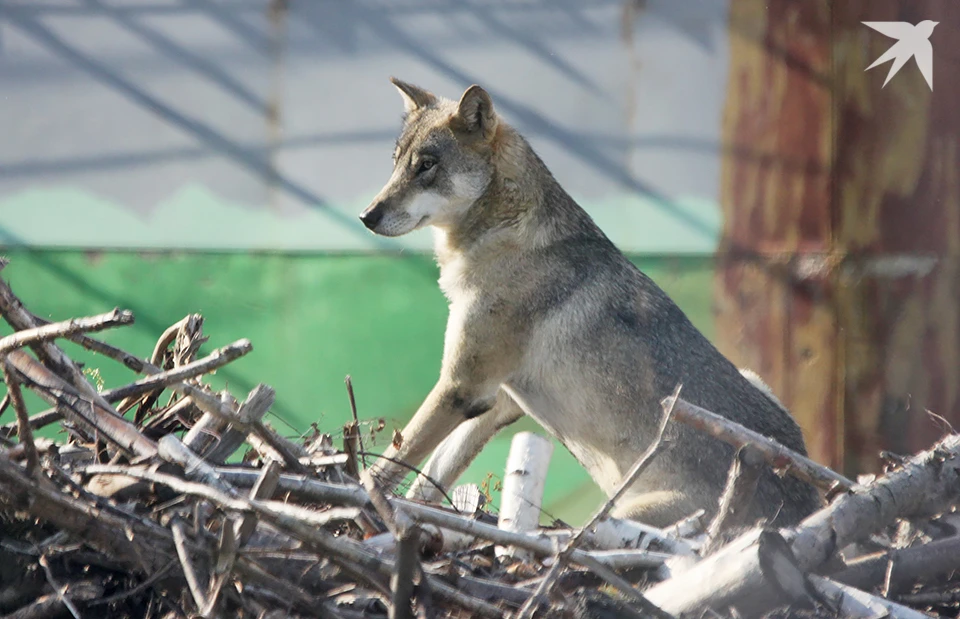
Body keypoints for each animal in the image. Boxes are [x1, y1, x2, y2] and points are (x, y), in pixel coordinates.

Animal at [356, 78, 820, 528]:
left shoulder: (461, 387)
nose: (366, 216)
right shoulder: (495, 403)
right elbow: (429, 479)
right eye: (397, 163)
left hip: (618, 515)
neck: (506, 235)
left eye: (426, 166)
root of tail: (808, 510)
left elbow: (392, 462)